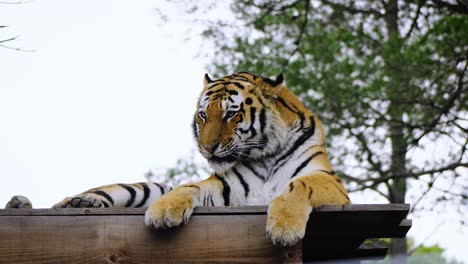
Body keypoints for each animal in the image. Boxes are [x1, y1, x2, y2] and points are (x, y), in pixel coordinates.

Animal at [5, 72, 350, 245]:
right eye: (202, 115)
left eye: (231, 114)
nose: (207, 148)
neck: (264, 153)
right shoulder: (227, 189)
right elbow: (190, 187)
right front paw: (164, 211)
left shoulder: (330, 183)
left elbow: (298, 185)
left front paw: (283, 228)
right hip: (142, 188)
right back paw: (44, 203)